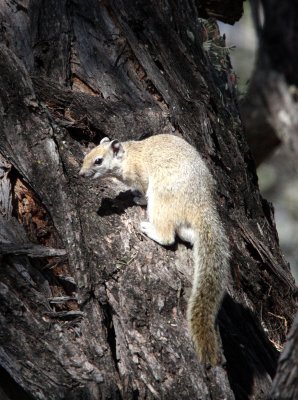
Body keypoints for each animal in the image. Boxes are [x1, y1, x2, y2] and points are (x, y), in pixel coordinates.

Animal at [79, 134, 230, 366]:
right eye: (85, 156)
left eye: (98, 161)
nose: (81, 174)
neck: (128, 156)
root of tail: (202, 206)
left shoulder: (139, 176)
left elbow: (140, 189)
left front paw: (137, 197)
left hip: (162, 198)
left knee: (168, 235)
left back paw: (149, 228)